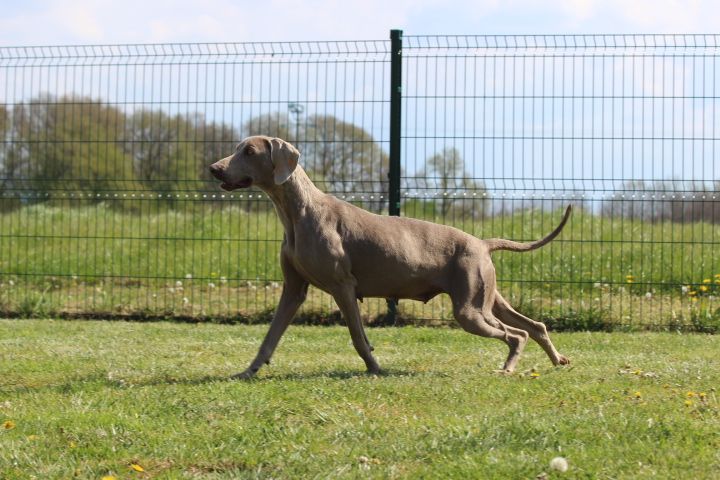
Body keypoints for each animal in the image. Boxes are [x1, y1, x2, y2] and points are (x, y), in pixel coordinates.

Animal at [211, 136, 572, 378]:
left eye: (249, 151)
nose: (214, 168)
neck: (298, 212)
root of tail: (482, 242)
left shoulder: (343, 286)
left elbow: (359, 337)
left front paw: (374, 368)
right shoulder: (293, 289)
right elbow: (269, 337)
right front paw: (247, 372)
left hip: (470, 309)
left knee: (517, 334)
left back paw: (508, 367)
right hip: (486, 298)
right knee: (534, 325)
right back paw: (557, 360)